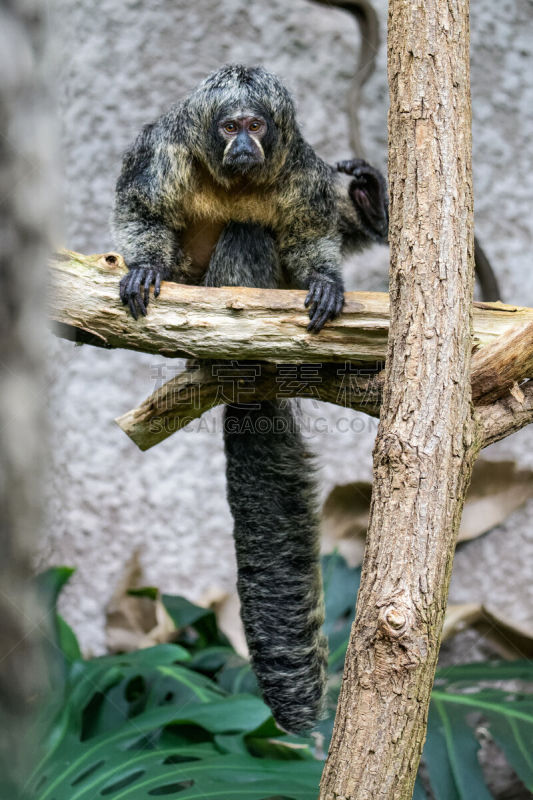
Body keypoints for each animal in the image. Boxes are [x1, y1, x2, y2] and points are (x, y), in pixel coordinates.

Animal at [113, 65, 386, 736]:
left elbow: (314, 234)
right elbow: (140, 208)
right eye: (230, 125)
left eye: (256, 126)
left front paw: (337, 259)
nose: (242, 143)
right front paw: (145, 265)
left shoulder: (302, 172)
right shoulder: (161, 153)